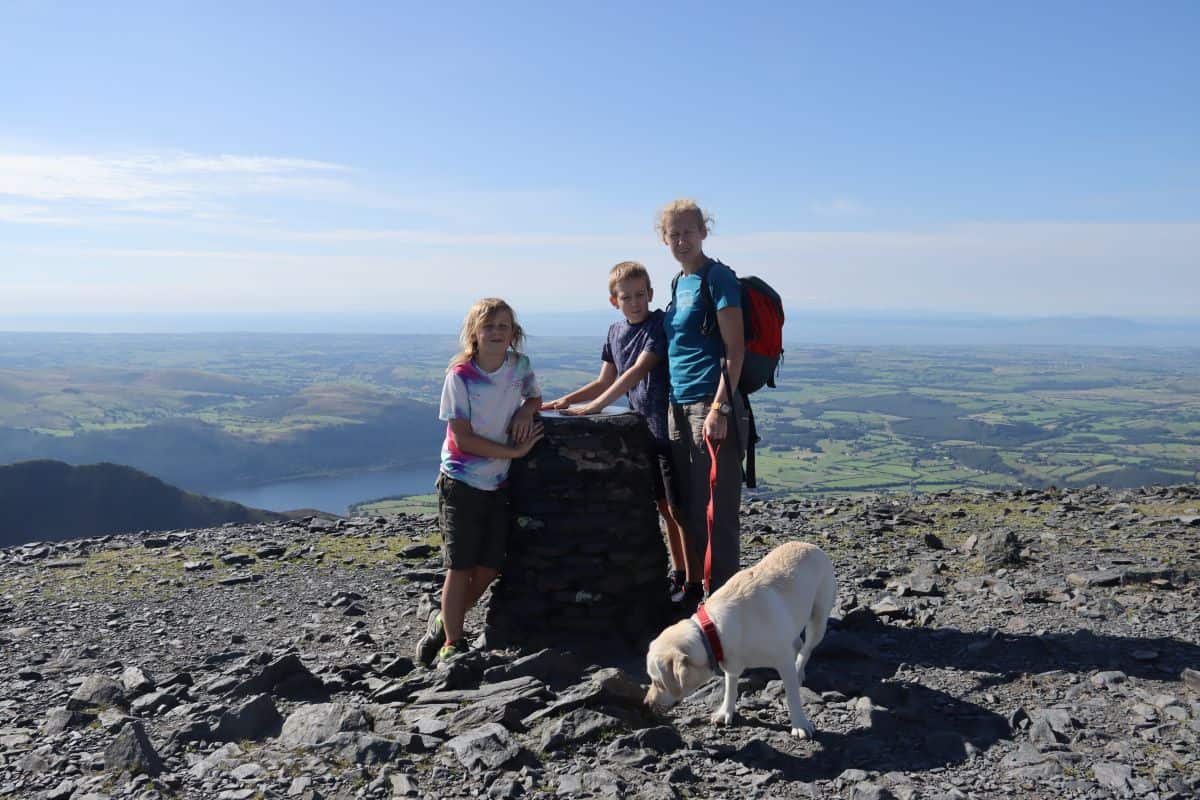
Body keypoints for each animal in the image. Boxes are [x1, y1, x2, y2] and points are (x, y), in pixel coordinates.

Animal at [648, 544, 835, 738]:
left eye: (658, 682)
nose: (647, 704)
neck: (711, 630)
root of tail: (810, 545)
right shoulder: (730, 663)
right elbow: (730, 688)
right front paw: (725, 711)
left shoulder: (784, 662)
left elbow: (792, 696)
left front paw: (800, 724)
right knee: (798, 643)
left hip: (818, 620)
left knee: (807, 648)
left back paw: (799, 670)